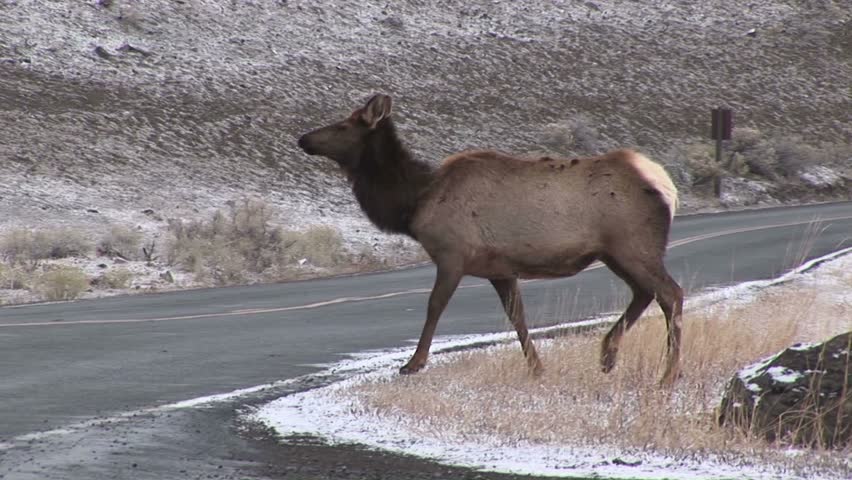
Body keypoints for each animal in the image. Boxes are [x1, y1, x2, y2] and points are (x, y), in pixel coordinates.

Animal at [298, 94, 684, 385]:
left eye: (343, 124)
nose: (303, 138)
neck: (415, 201)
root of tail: (666, 185)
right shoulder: (501, 269)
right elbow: (518, 317)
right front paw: (536, 367)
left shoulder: (452, 255)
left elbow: (434, 306)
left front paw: (413, 363)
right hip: (615, 253)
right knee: (644, 292)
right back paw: (607, 355)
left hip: (633, 246)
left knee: (670, 293)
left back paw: (668, 375)